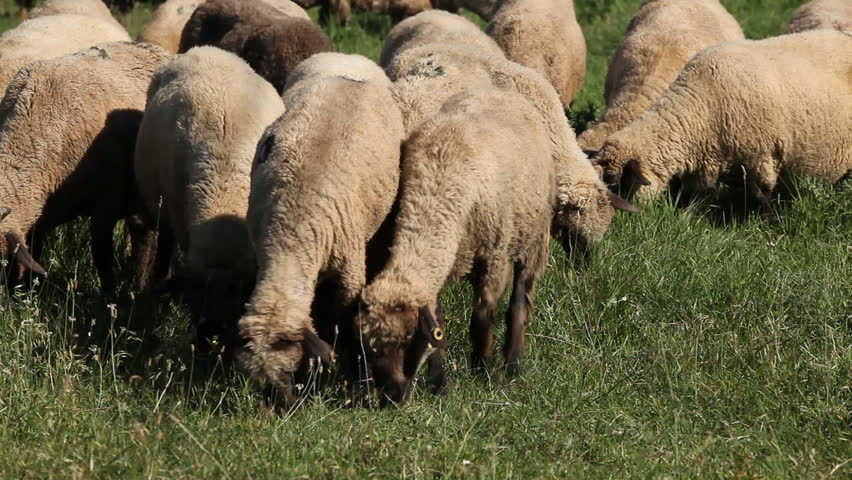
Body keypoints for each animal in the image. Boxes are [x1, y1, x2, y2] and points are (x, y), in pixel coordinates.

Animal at [236, 53, 404, 404]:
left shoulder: (349, 275)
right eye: (258, 382)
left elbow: (342, 324)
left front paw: (357, 380)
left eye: (289, 370)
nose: (283, 409)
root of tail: (348, 56)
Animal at [354, 86, 556, 403]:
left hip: (533, 237)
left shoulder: (494, 258)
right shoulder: (437, 271)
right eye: (369, 347)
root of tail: (498, 91)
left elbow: (482, 317)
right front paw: (438, 385)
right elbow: (437, 322)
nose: (392, 397)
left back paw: (512, 368)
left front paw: (483, 371)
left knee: (519, 303)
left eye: (407, 339)